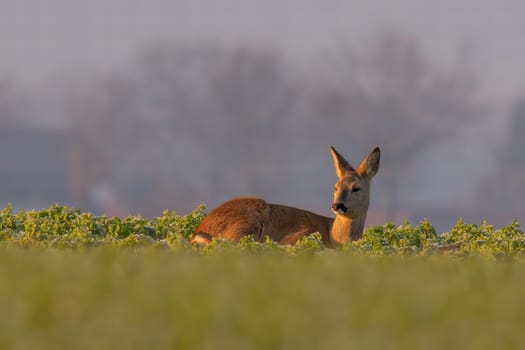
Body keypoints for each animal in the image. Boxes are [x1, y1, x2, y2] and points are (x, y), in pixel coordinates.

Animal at [190, 146, 378, 247]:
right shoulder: (302, 235)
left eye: (356, 188)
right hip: (249, 222)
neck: (334, 236)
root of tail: (197, 232)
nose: (337, 205)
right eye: (335, 187)